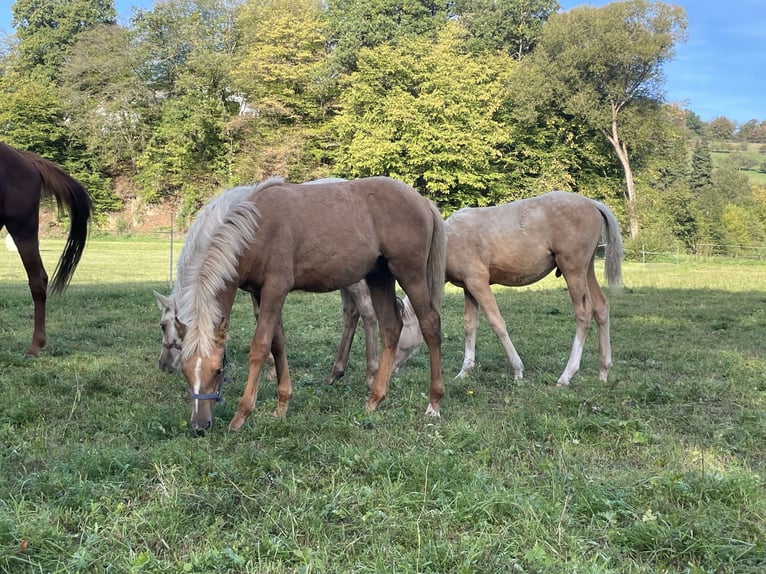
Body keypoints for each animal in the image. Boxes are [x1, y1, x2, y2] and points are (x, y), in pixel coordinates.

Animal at [154, 179, 381, 386]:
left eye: (163, 326)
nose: (163, 365)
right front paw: (273, 371)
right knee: (350, 314)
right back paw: (336, 372)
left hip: (356, 282)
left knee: (367, 314)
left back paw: (371, 374)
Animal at [392, 191, 622, 386]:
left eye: (399, 332)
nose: (391, 368)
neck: (448, 240)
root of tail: (592, 203)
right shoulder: (468, 289)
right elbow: (469, 325)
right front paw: (464, 371)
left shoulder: (478, 283)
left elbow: (497, 323)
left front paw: (518, 370)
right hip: (587, 270)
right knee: (601, 308)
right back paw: (604, 371)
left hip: (573, 270)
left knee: (584, 313)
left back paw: (566, 376)